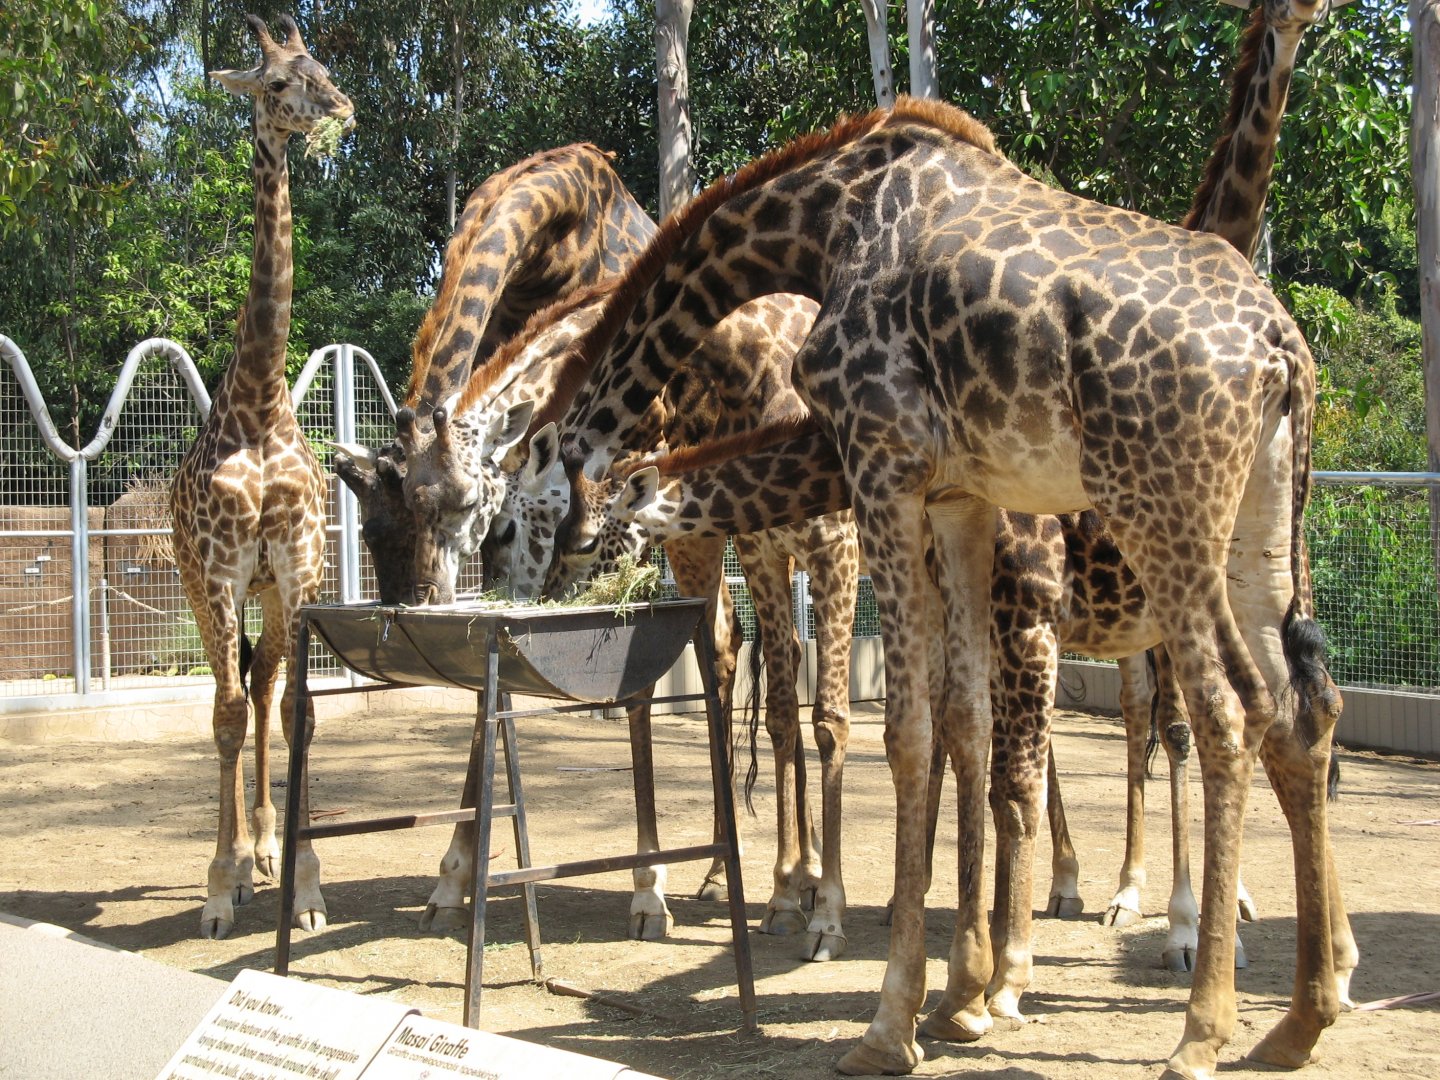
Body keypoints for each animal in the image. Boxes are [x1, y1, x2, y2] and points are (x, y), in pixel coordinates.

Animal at [544, 98, 1350, 1078]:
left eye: (552, 474)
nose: (561, 558)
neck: (821, 220)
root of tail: (1281, 351)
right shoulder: (961, 497)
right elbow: (967, 727)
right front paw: (964, 995)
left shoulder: (883, 463)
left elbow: (909, 733)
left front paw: (891, 1022)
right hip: (1261, 526)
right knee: (1299, 707)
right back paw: (1300, 1016)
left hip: (1164, 511)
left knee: (1226, 712)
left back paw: (1201, 1025)